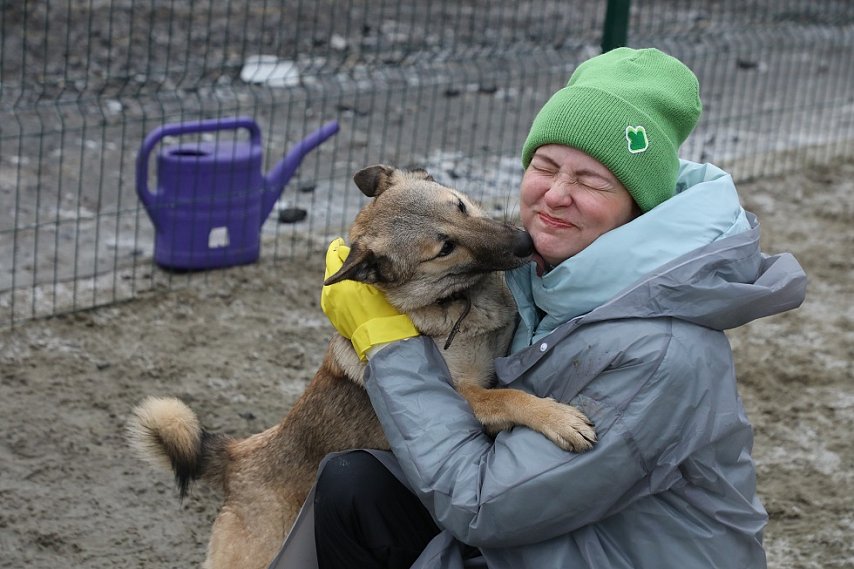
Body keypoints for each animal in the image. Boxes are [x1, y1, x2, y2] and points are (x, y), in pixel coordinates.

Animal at [129, 164, 596, 568]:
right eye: (445, 248)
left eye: (460, 206)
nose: (523, 244)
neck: (458, 301)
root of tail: (238, 459)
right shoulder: (460, 395)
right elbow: (508, 395)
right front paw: (558, 419)